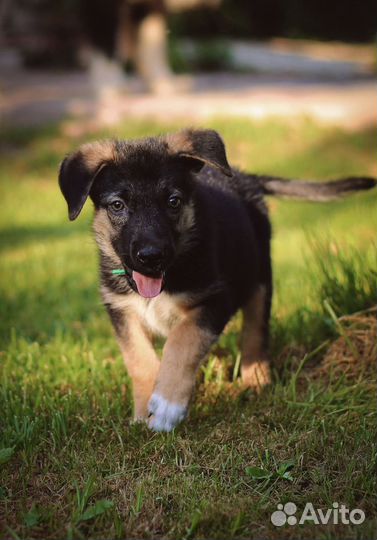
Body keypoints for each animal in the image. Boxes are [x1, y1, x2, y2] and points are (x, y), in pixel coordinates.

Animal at [58, 129, 376, 432]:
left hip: (258, 274)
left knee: (255, 329)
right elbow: (139, 359)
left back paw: (256, 378)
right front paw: (143, 410)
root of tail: (246, 179)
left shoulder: (217, 299)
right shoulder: (121, 310)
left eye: (173, 202)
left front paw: (167, 406)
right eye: (117, 205)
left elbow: (183, 340)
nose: (151, 256)